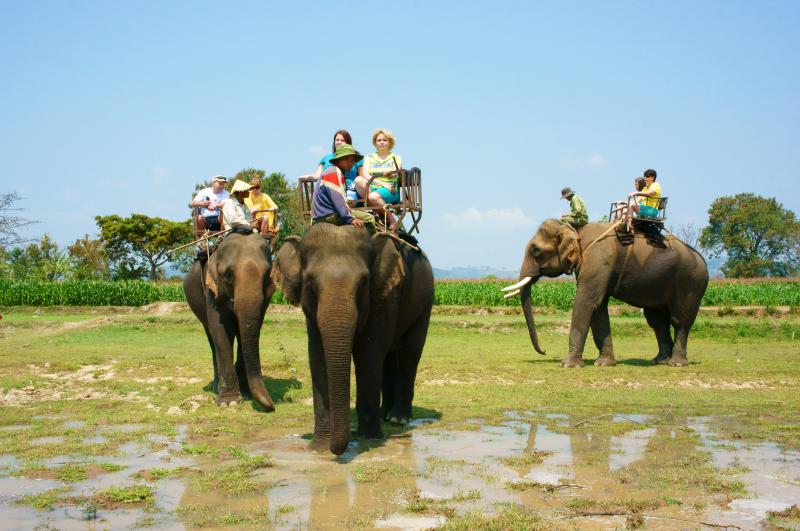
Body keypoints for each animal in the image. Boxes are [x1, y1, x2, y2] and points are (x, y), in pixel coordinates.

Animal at [183, 233, 276, 412]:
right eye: (228, 275)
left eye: (267, 275)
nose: (272, 407)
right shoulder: (211, 290)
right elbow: (221, 329)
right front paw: (229, 402)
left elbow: (250, 328)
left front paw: (245, 393)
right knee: (211, 338)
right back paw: (216, 386)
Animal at [274, 224, 438, 458]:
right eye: (310, 282)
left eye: (363, 283)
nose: (337, 450)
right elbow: (318, 357)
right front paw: (318, 448)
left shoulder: (384, 296)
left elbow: (368, 356)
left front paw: (369, 439)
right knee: (388, 359)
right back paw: (385, 415)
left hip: (425, 301)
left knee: (409, 353)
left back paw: (398, 419)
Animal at [506, 218, 708, 368]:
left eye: (536, 250)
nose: (545, 351)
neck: (576, 229)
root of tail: (702, 259)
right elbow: (599, 308)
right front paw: (604, 363)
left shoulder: (598, 259)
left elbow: (586, 302)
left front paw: (567, 365)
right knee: (657, 320)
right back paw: (659, 361)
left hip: (690, 283)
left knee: (680, 320)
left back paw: (676, 363)